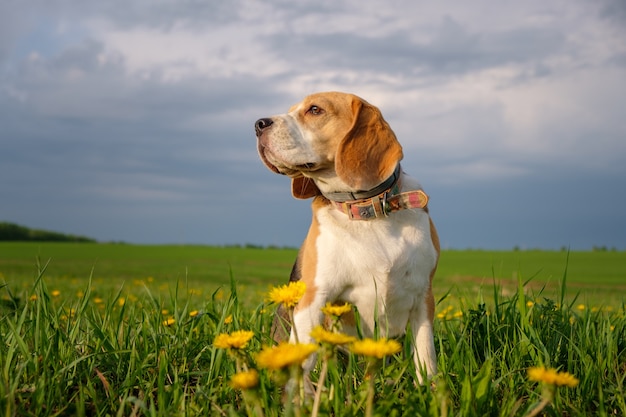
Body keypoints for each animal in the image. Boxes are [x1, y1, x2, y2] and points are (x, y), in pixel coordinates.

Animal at [254, 91, 438, 384]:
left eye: (315, 110)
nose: (258, 124)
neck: (368, 211)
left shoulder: (423, 296)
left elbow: (426, 356)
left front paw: (428, 390)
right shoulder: (314, 296)